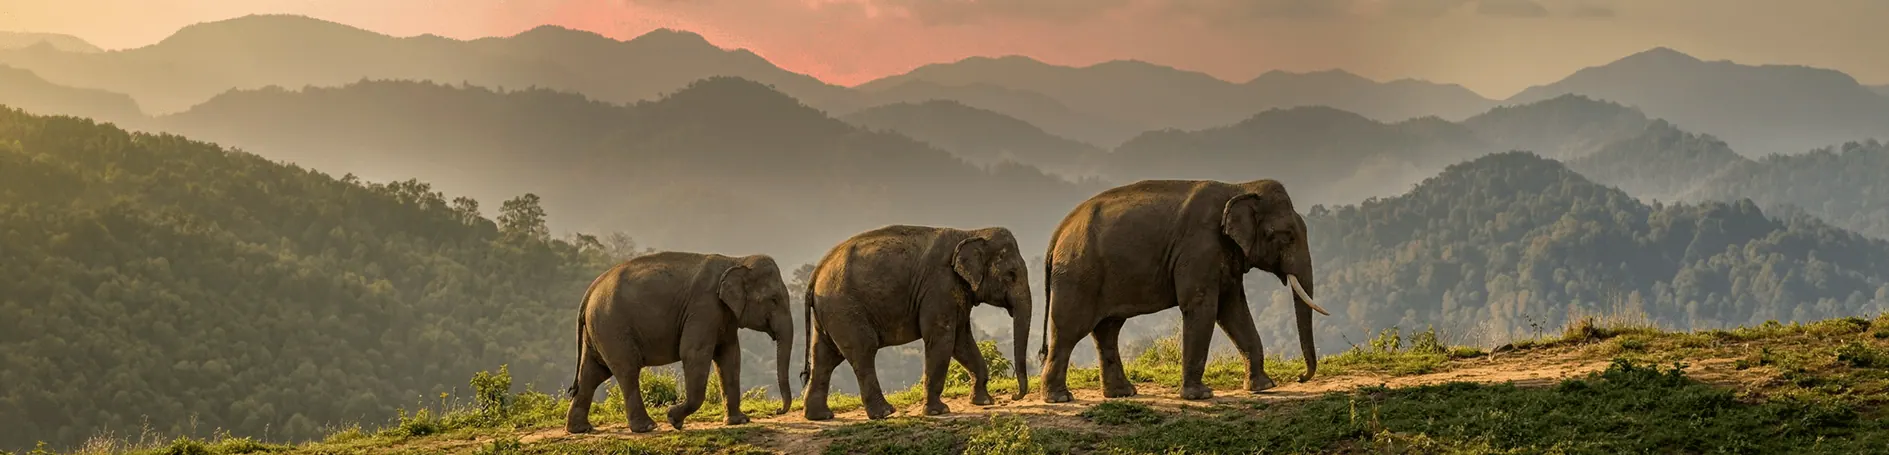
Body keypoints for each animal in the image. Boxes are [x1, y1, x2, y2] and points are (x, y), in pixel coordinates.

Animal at [564, 252, 795, 434]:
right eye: (774, 300)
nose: (777, 410)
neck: (736, 260)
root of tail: (590, 291)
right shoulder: (703, 308)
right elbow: (694, 353)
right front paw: (673, 418)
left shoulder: (725, 315)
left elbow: (730, 357)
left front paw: (739, 421)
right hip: (613, 327)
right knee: (626, 370)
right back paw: (647, 427)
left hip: (599, 331)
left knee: (593, 373)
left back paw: (580, 429)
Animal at [799, 225, 1032, 421]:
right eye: (1011, 275)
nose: (1014, 396)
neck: (970, 232)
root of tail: (815, 274)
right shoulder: (939, 286)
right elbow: (941, 338)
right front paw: (938, 411)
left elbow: (961, 340)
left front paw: (983, 401)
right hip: (845, 310)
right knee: (863, 351)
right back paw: (885, 413)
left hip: (830, 313)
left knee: (825, 356)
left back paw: (820, 416)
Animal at [1037, 179, 1330, 403]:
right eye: (1286, 236)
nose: (1300, 377)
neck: (1238, 187)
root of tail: (1057, 233)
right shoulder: (1199, 249)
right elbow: (1202, 307)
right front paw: (1200, 395)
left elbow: (1233, 309)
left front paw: (1263, 387)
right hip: (1078, 275)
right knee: (1070, 330)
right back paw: (1060, 398)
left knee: (1107, 329)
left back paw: (1123, 393)